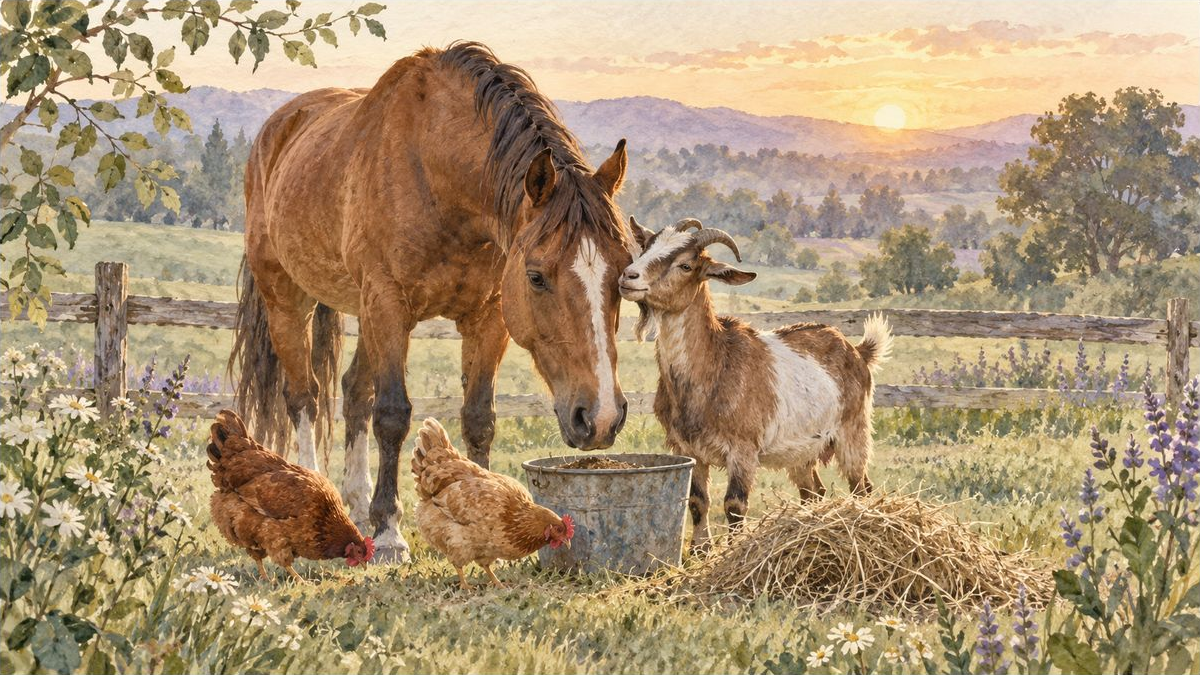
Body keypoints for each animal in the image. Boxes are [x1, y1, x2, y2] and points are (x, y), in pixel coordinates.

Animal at [231, 42, 635, 561]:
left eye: (624, 271)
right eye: (537, 277)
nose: (600, 418)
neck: (437, 172)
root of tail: (278, 128)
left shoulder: (488, 317)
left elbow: (478, 417)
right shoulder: (388, 304)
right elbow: (392, 416)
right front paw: (390, 533)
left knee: (353, 392)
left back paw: (355, 505)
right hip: (287, 298)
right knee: (304, 397)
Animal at [619, 217, 892, 549]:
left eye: (685, 265)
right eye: (646, 248)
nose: (629, 276)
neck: (714, 364)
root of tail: (858, 351)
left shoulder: (743, 450)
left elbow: (734, 506)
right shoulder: (689, 449)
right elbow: (697, 502)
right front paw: (700, 551)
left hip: (853, 432)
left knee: (861, 486)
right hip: (801, 451)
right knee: (814, 492)